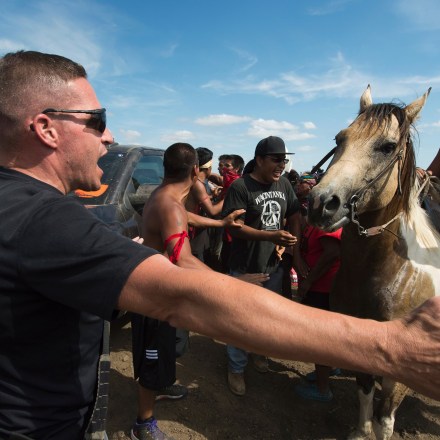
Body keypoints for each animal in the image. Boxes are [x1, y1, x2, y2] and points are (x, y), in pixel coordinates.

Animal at [308, 84, 440, 438]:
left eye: (387, 146)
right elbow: (365, 394)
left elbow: (385, 417)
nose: (321, 202)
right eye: (340, 138)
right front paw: (360, 431)